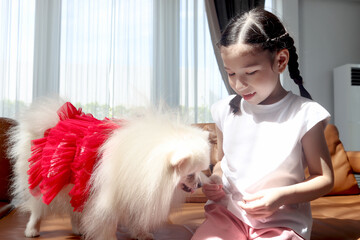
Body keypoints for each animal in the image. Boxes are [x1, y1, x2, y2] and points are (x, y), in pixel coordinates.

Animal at [9, 98, 211, 239]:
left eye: (201, 170)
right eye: (190, 174)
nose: (200, 184)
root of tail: (55, 121)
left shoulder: (134, 192)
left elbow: (135, 219)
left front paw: (141, 234)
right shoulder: (108, 198)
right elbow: (107, 223)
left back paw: (78, 228)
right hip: (50, 179)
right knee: (38, 209)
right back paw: (32, 230)